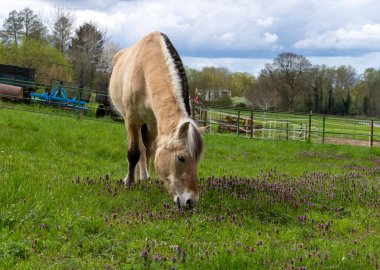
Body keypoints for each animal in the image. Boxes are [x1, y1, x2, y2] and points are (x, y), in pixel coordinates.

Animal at [108, 31, 206, 209]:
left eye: (197, 160)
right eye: (180, 158)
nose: (191, 202)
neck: (145, 69)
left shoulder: (154, 123)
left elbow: (148, 151)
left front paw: (144, 179)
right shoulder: (132, 118)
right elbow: (133, 152)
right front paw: (129, 183)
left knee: (146, 148)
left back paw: (143, 177)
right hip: (130, 120)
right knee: (137, 147)